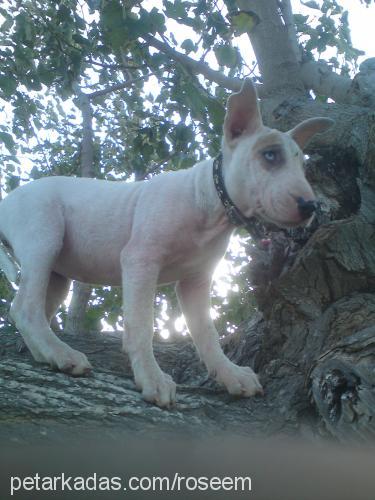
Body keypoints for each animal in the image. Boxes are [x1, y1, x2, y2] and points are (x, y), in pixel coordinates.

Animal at [0, 79, 334, 406]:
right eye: (270, 155)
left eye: (302, 166)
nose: (310, 206)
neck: (208, 200)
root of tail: (6, 202)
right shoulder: (140, 261)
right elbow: (142, 325)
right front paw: (152, 378)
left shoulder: (196, 281)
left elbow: (206, 332)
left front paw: (231, 375)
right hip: (43, 237)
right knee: (25, 308)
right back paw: (62, 354)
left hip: (57, 275)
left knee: (32, 311)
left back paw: (44, 352)